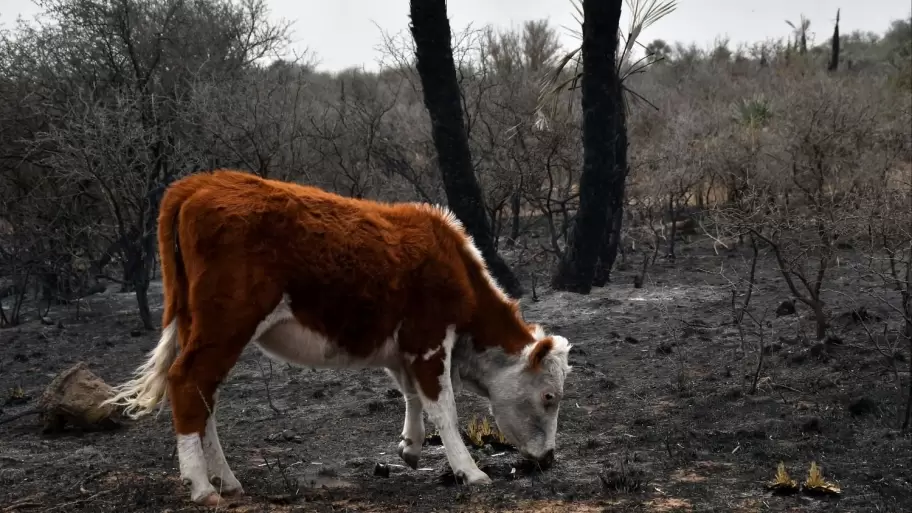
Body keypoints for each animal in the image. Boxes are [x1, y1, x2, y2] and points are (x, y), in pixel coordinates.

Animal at [103, 170, 572, 506]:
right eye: (550, 397)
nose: (549, 459)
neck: (454, 264)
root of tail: (198, 183)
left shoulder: (403, 348)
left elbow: (411, 394)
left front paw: (410, 447)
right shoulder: (428, 340)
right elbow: (444, 408)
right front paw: (469, 471)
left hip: (197, 326)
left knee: (205, 397)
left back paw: (227, 479)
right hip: (225, 325)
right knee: (187, 385)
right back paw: (202, 487)